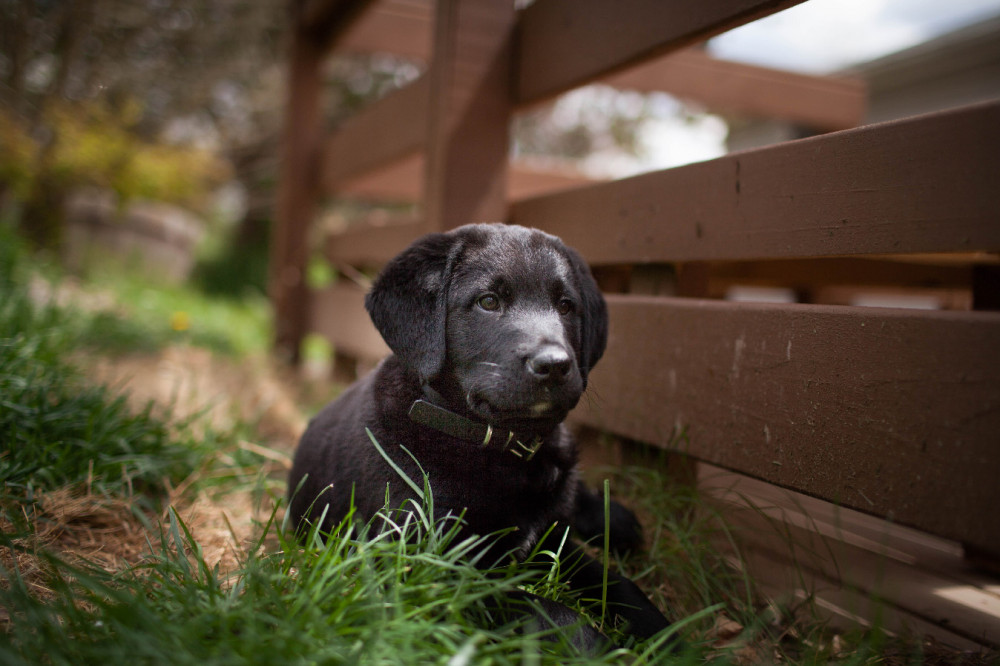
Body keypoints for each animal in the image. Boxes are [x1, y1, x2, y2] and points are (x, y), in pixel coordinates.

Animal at [288, 222, 672, 644]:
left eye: (566, 306)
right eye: (488, 302)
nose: (555, 364)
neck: (495, 446)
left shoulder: (553, 540)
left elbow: (618, 584)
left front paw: (668, 636)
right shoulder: (431, 571)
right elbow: (550, 612)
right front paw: (599, 647)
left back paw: (614, 519)